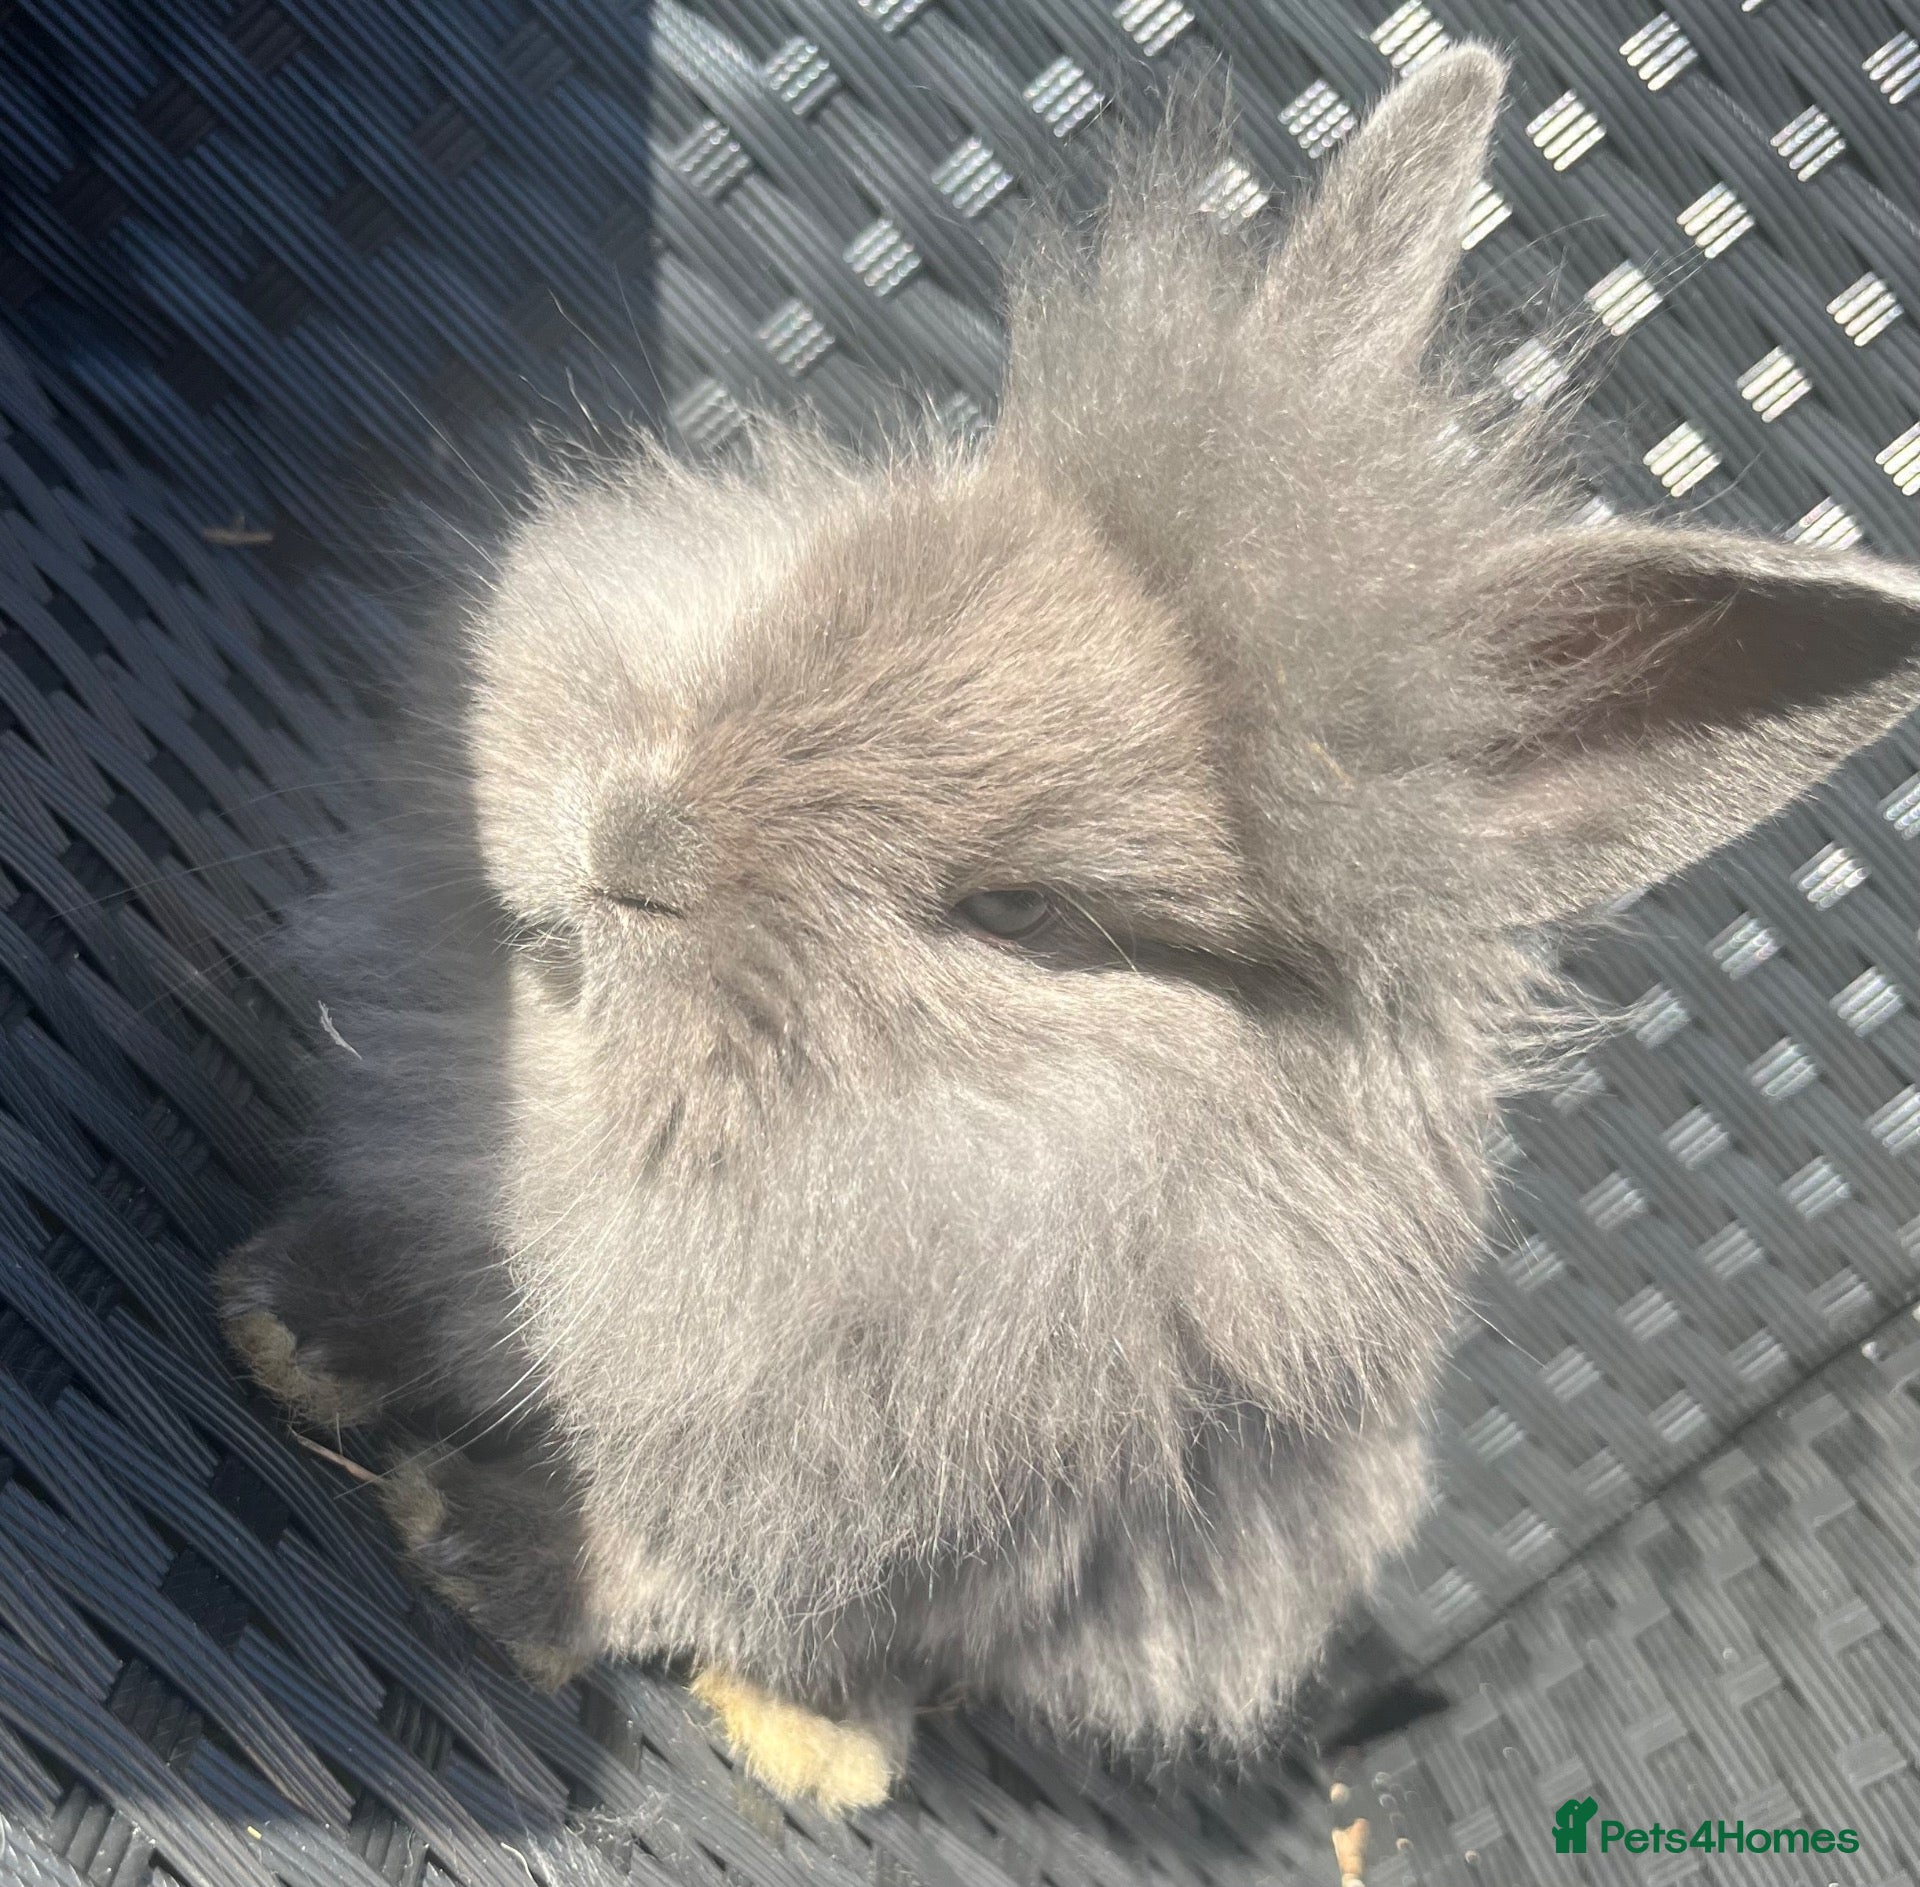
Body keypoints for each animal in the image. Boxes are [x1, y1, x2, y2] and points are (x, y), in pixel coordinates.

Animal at [218, 43, 1920, 1814]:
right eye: (864, 553)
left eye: (1024, 911)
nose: (629, 839)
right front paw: (289, 1318)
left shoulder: (896, 1502)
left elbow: (665, 1556)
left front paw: (477, 1549)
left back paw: (811, 1739)